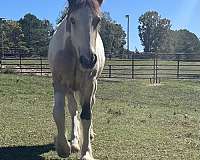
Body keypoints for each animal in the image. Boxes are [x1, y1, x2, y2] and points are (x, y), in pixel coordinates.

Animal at [48, 0, 104, 159]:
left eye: (97, 20)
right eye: (72, 19)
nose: (88, 60)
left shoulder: (89, 84)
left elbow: (86, 115)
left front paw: (86, 152)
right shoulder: (59, 82)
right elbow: (59, 112)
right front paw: (63, 147)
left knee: (89, 107)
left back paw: (89, 135)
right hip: (70, 89)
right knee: (73, 110)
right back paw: (74, 141)